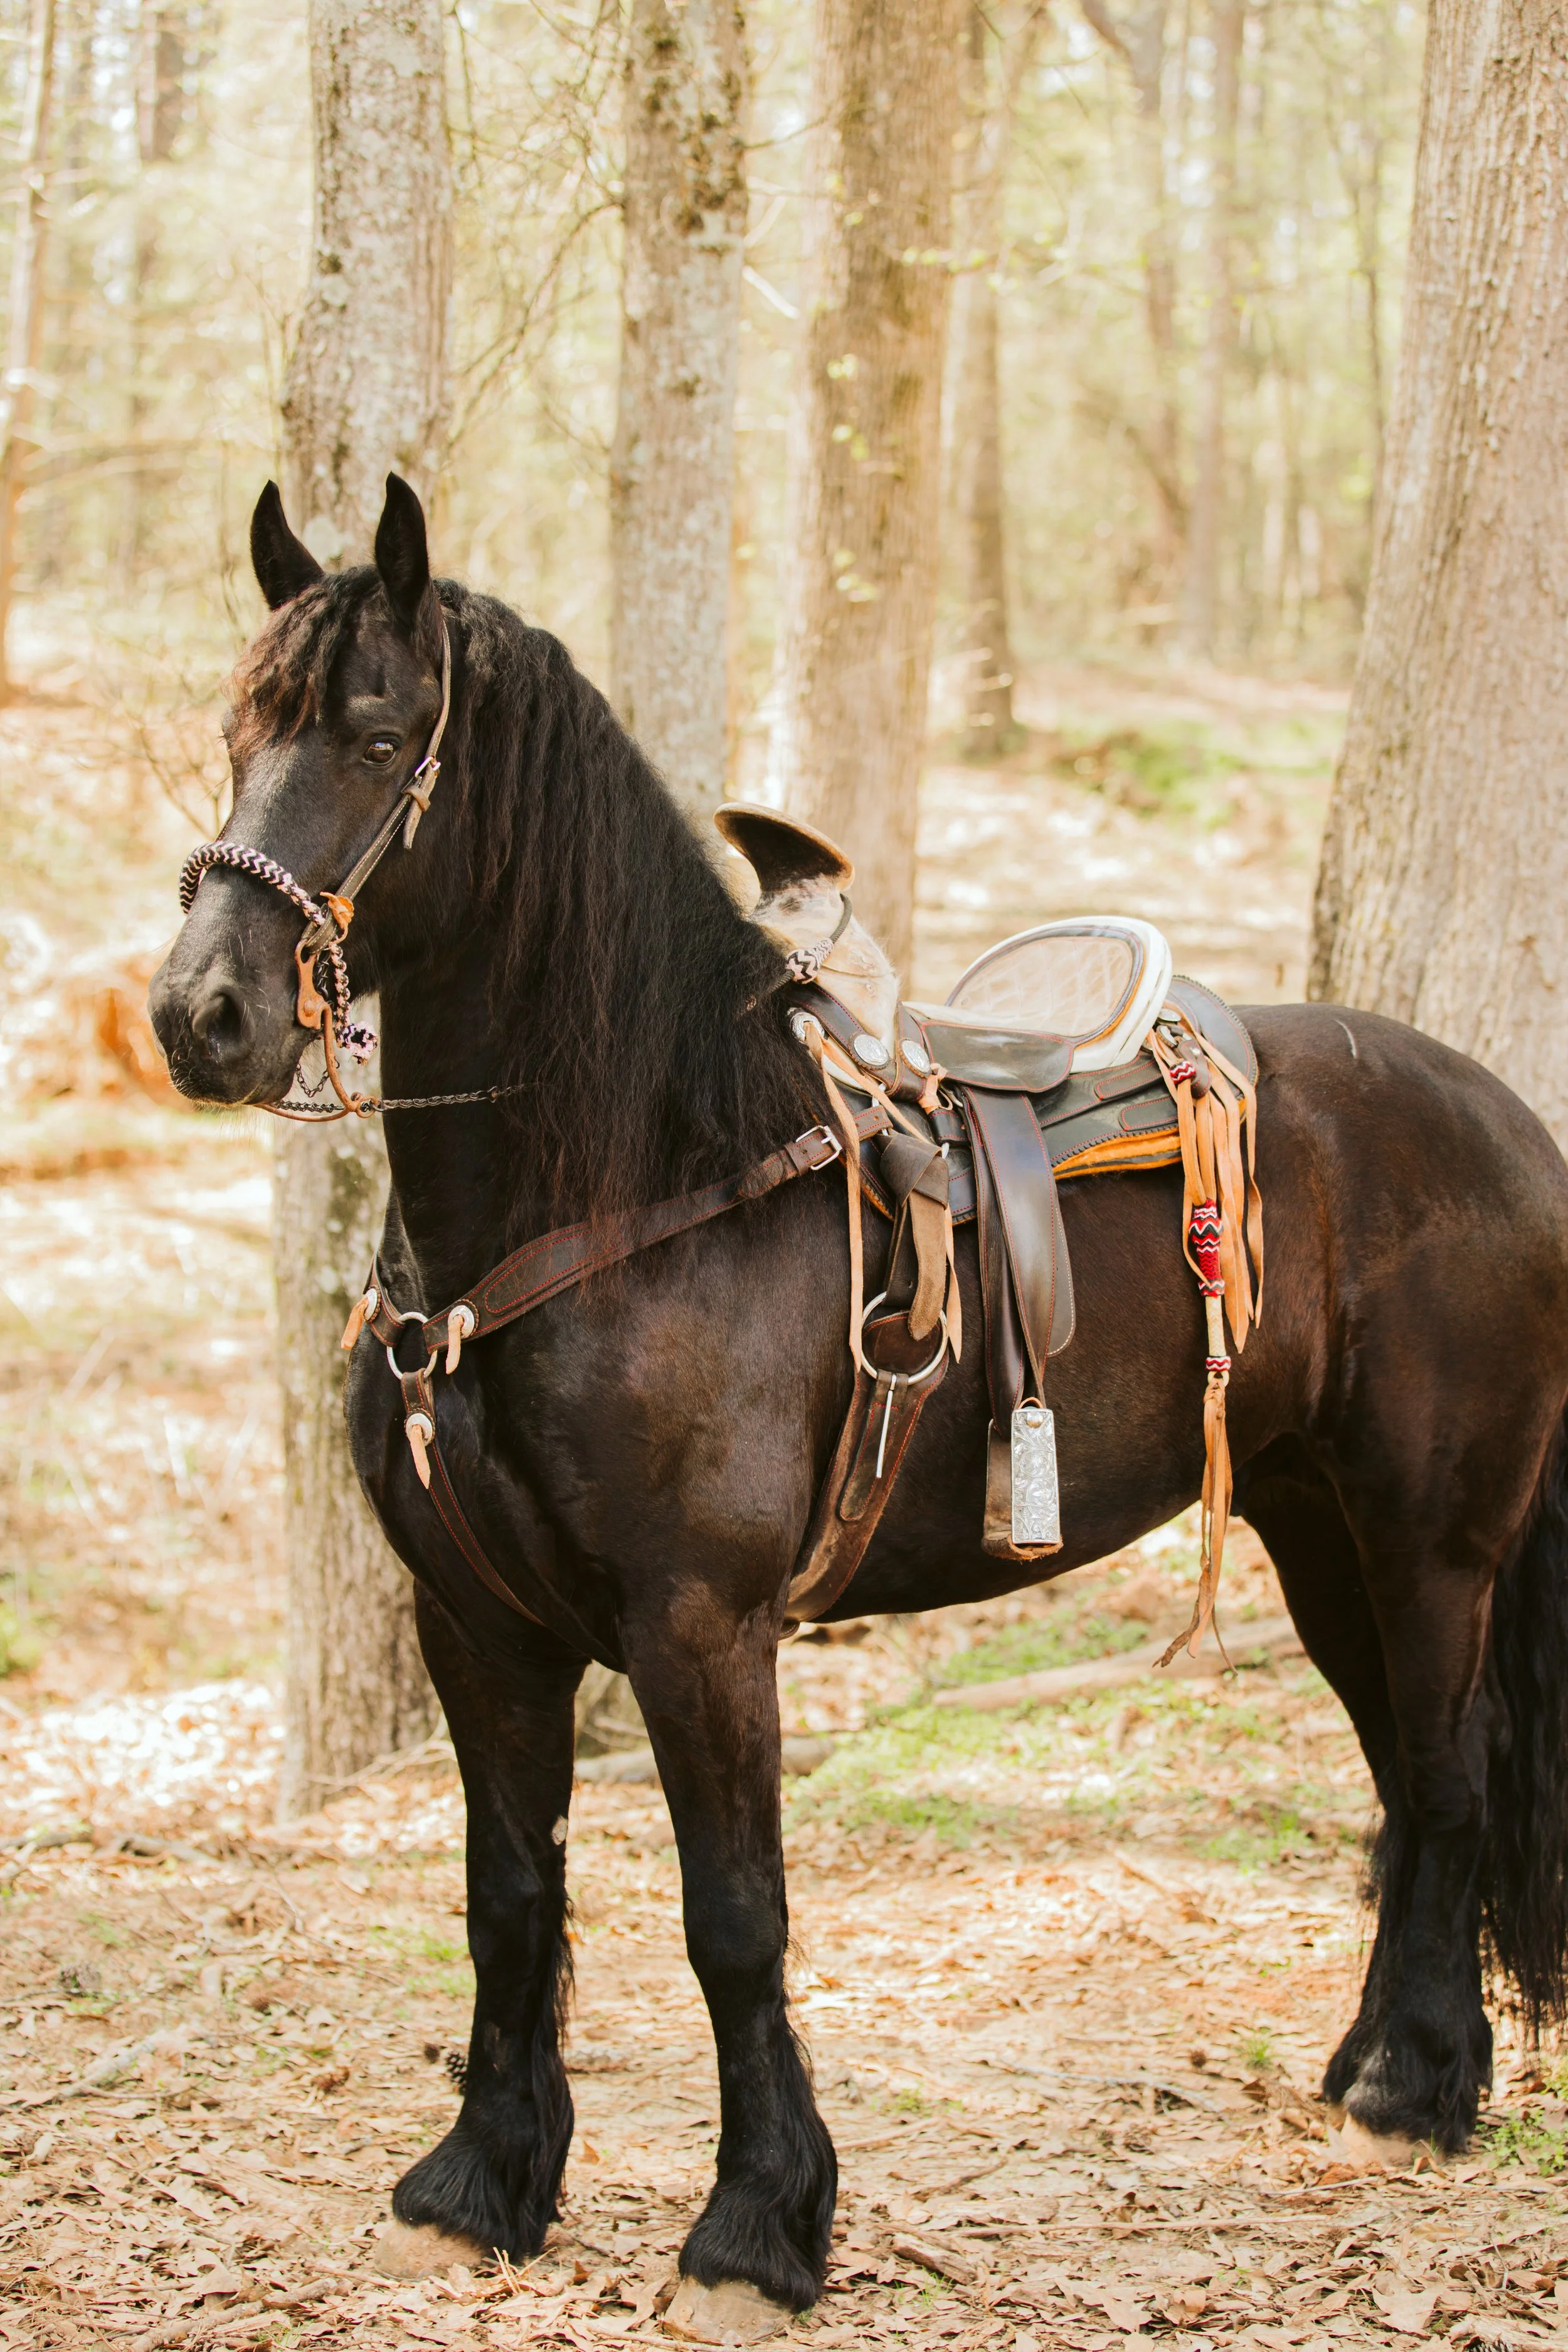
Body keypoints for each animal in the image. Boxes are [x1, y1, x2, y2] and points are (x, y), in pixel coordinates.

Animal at [150, 475, 1568, 2332]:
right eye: (238, 732)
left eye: (380, 736)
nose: (202, 1013)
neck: (632, 1179)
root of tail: (1512, 1122)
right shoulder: (480, 1625)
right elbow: (511, 1891)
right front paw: (481, 2181)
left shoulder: (699, 1626)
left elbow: (732, 1915)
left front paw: (759, 2221)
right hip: (1315, 1532)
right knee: (1411, 1776)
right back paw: (1379, 2064)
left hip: (1428, 1543)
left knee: (1451, 1777)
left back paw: (1415, 2088)